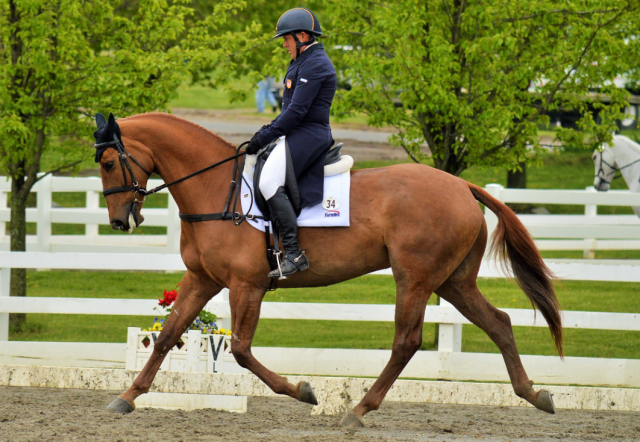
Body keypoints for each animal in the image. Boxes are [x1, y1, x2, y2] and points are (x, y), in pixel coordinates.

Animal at [95, 112, 560, 426]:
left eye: (108, 163)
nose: (119, 221)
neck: (215, 191)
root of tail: (461, 184)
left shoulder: (247, 286)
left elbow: (242, 351)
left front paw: (302, 391)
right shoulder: (202, 280)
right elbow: (167, 336)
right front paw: (128, 396)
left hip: (415, 278)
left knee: (407, 341)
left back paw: (359, 410)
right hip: (453, 281)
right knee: (498, 323)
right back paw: (535, 394)